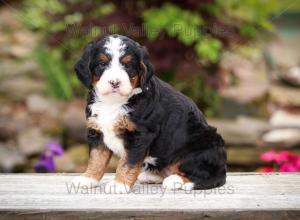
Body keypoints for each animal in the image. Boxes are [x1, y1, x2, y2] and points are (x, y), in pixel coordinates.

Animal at [71, 34, 226, 192]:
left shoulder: (139, 135)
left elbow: (128, 163)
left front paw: (119, 184)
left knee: (212, 177)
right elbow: (96, 159)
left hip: (200, 149)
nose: (115, 82)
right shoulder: (96, 132)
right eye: (102, 64)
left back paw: (177, 180)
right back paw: (153, 176)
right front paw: (88, 178)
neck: (113, 102)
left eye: (128, 65)